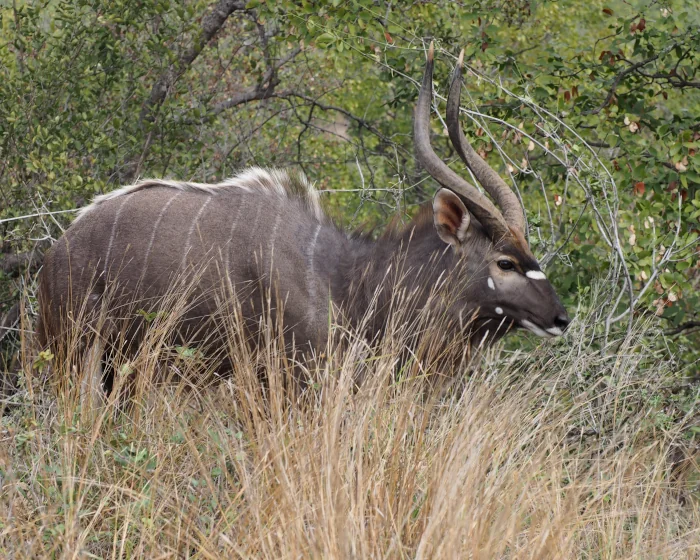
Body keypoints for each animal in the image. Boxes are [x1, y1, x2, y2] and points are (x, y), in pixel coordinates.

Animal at [37, 46, 568, 400]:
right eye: (504, 262)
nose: (561, 318)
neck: (348, 280)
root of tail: (58, 251)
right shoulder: (293, 378)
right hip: (72, 355)